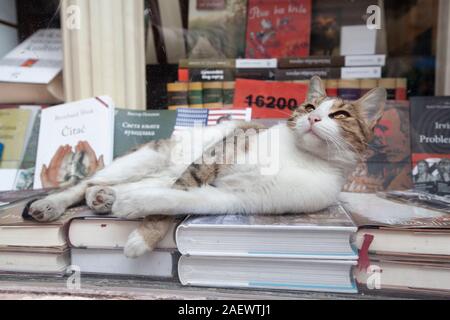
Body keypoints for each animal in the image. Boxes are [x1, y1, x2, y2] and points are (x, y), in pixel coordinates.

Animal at [29, 77, 386, 258]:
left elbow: (177, 200)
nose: (313, 119)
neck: (302, 156)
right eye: (310, 107)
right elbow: (185, 184)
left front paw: (141, 223)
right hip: (146, 157)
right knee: (82, 184)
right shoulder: (220, 152)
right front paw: (143, 234)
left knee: (121, 185)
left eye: (340, 115)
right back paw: (52, 204)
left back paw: (106, 198)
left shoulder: (237, 199)